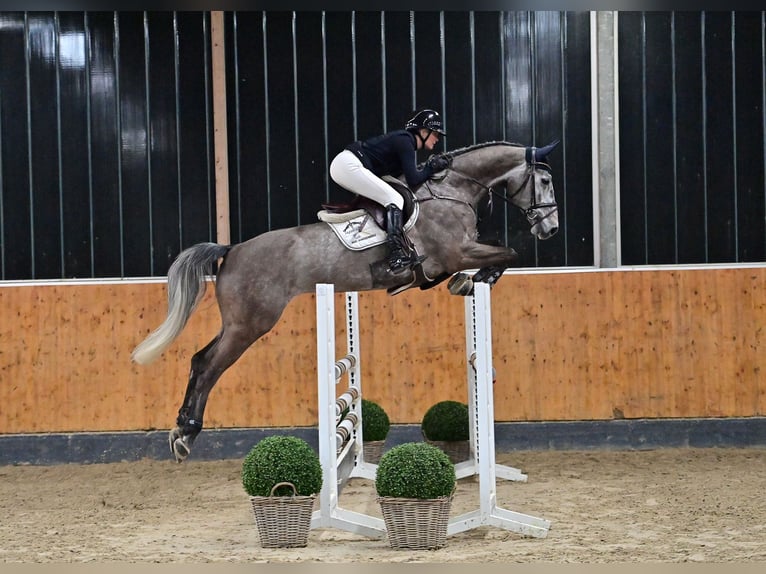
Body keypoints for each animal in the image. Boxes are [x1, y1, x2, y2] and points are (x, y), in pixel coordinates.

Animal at [132, 138, 560, 464]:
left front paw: (466, 283)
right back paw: (186, 434)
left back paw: (181, 431)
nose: (551, 228)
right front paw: (476, 280)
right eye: (544, 179)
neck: (453, 190)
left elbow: (498, 254)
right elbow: (507, 252)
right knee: (209, 366)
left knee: (198, 359)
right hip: (250, 324)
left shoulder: (455, 255)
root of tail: (232, 249)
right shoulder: (457, 252)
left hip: (239, 322)